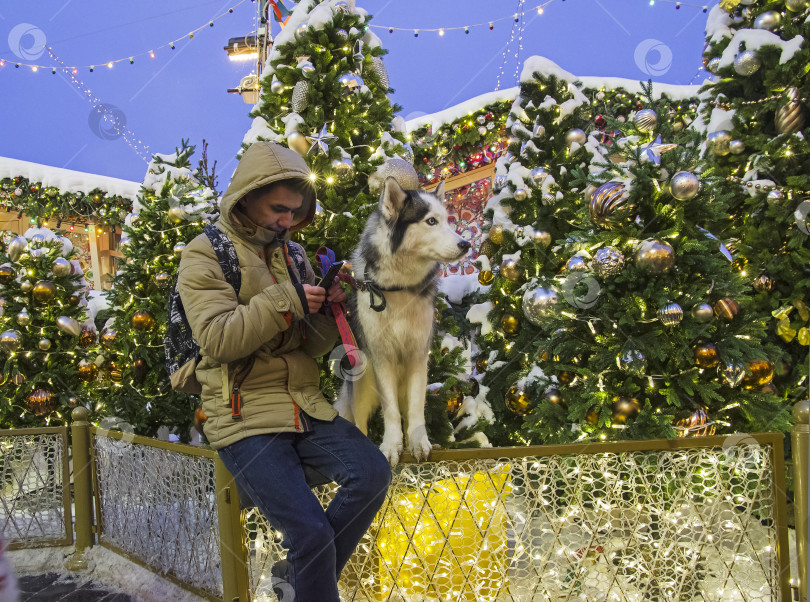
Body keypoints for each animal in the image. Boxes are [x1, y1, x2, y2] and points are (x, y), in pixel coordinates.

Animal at [334, 175, 470, 464]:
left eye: (448, 220)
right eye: (431, 221)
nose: (466, 245)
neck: (398, 288)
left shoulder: (418, 355)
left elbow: (416, 410)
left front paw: (419, 442)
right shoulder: (382, 358)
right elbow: (390, 411)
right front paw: (391, 445)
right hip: (362, 380)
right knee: (361, 423)